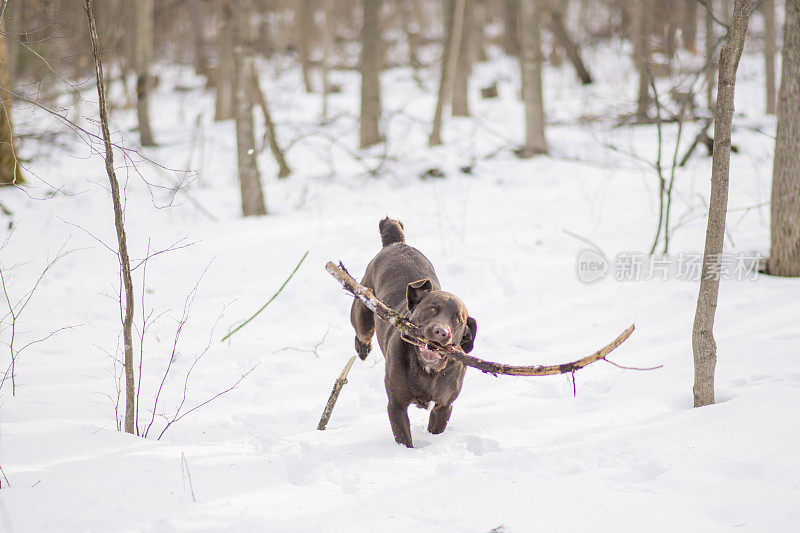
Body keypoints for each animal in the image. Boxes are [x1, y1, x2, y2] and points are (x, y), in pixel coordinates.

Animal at [348, 216, 476, 444]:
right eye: (431, 309)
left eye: (457, 320)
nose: (441, 332)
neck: (427, 369)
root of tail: (396, 243)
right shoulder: (396, 405)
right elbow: (404, 439)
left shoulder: (444, 406)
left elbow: (436, 427)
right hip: (362, 310)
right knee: (362, 332)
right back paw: (362, 348)